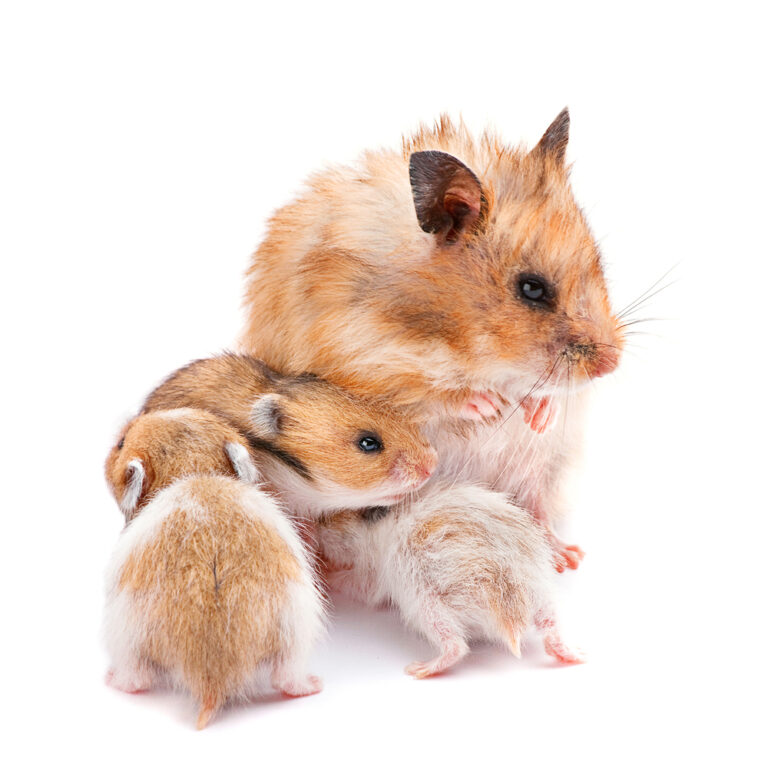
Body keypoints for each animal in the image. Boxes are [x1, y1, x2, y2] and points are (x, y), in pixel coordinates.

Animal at [103, 408, 324, 728]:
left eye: (121, 444)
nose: (126, 421)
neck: (198, 474)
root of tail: (211, 680)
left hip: (126, 635)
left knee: (136, 679)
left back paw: (111, 679)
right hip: (296, 631)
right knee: (288, 678)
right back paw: (313, 685)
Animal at [239, 110, 623, 567]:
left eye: (599, 263)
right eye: (531, 288)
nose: (612, 365)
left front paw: (538, 412)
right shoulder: (359, 356)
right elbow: (431, 391)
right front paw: (489, 407)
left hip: (544, 463)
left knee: (537, 505)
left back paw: (566, 557)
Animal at [317, 484, 583, 678]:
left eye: (342, 519)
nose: (320, 525)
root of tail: (510, 617)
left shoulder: (374, 577)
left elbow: (354, 584)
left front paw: (325, 569)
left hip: (424, 603)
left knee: (456, 647)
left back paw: (419, 669)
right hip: (541, 593)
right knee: (550, 630)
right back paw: (574, 656)